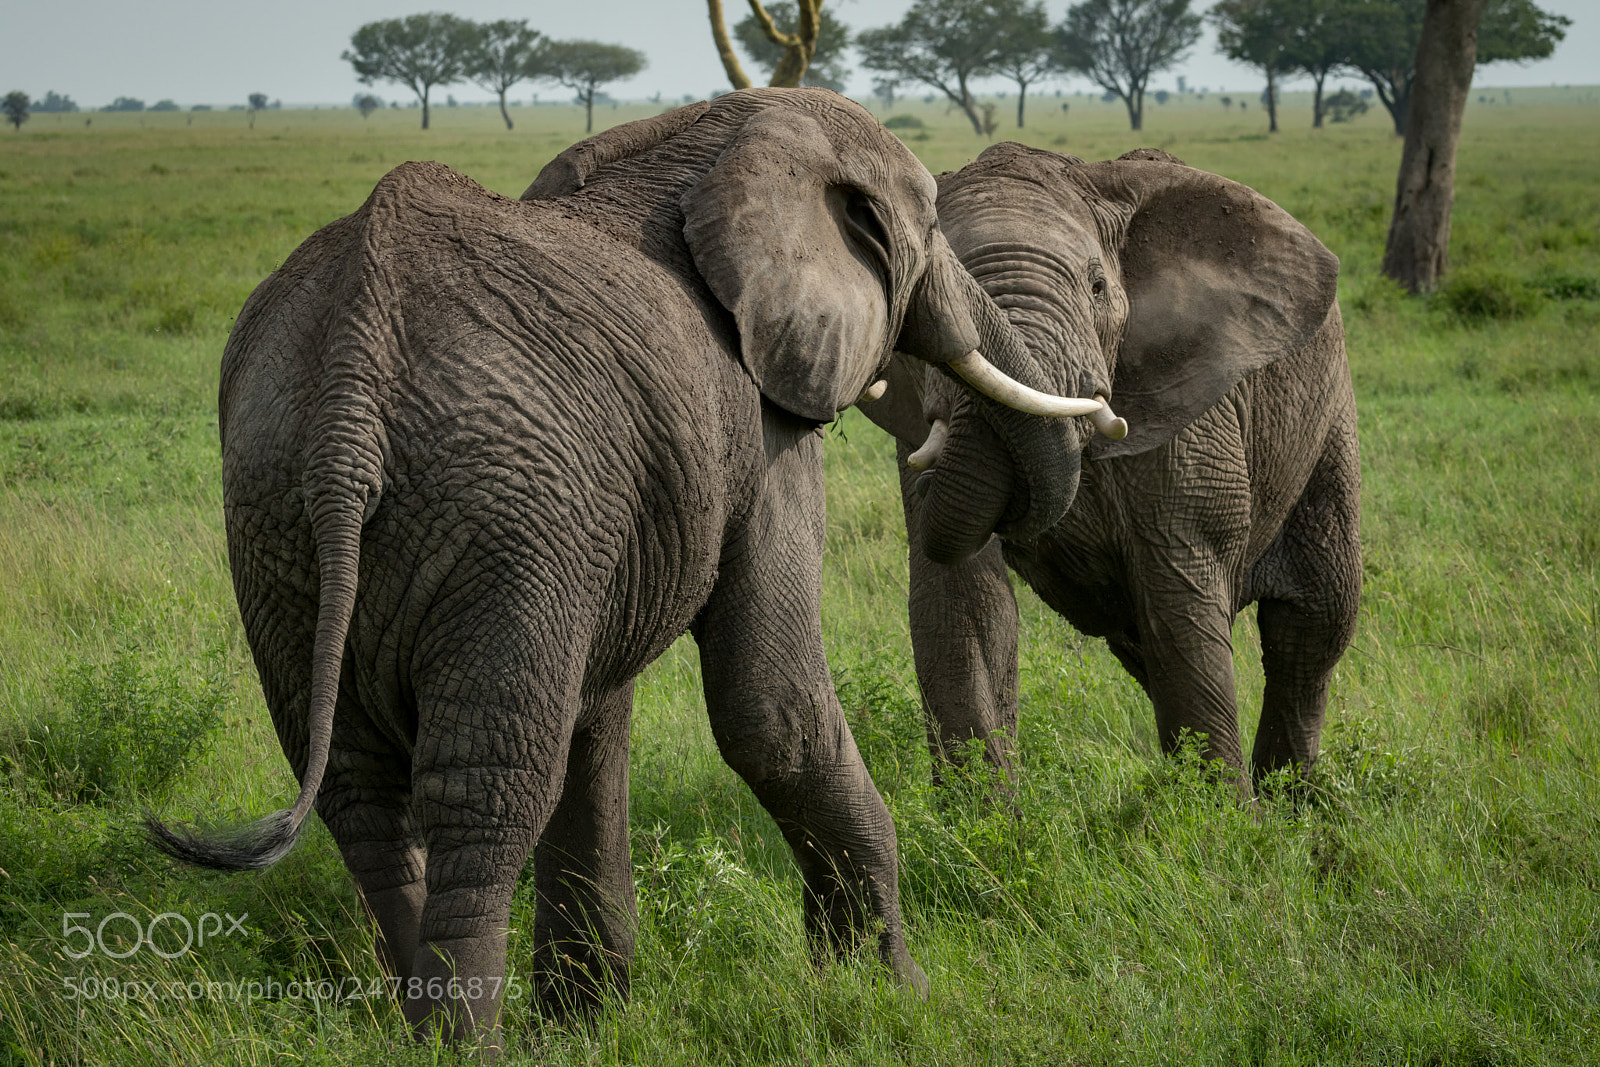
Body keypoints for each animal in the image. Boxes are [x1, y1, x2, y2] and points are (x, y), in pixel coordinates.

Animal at [147, 92, 1108, 1047]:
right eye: (933, 223)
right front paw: (896, 992)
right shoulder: (755, 426)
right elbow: (772, 711)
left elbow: (595, 718)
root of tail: (350, 392)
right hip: (499, 516)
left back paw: (420, 1036)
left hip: (282, 525)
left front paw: (589, 1020)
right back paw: (466, 1047)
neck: (714, 138)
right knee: (486, 788)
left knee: (363, 788)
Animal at [859, 143, 1361, 793]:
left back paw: (1289, 801)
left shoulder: (1190, 420)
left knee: (1312, 625)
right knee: (1142, 643)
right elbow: (964, 606)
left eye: (1097, 287)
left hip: (1329, 413)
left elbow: (1180, 594)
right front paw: (983, 818)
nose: (926, 482)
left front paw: (1221, 814)